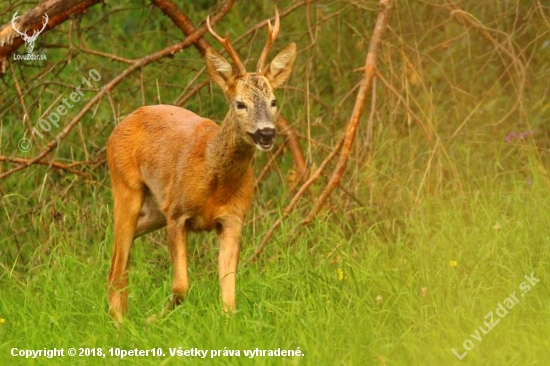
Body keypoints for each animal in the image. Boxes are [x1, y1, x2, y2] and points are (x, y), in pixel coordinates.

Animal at [107, 10, 298, 322]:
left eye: (273, 101)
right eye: (239, 103)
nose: (267, 133)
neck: (215, 180)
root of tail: (122, 122)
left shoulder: (233, 219)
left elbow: (229, 299)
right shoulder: (177, 214)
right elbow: (180, 287)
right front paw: (155, 318)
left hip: (155, 208)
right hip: (126, 186)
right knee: (117, 265)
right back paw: (121, 323)